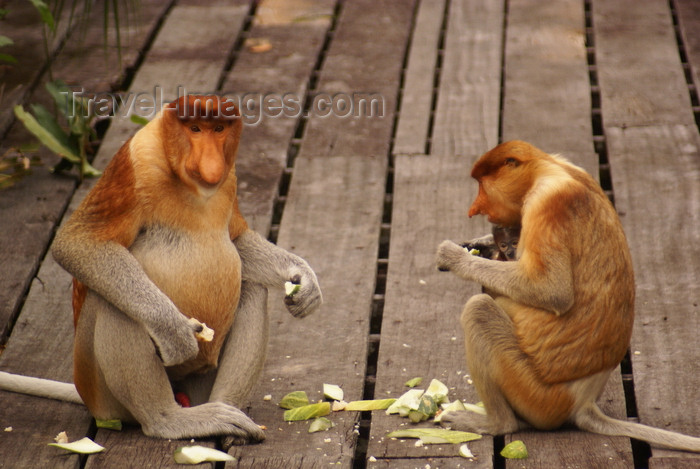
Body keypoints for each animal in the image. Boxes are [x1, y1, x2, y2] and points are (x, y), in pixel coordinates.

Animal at [0, 93, 322, 444]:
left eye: (219, 129)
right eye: (195, 129)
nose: (212, 164)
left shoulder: (230, 177)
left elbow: (236, 239)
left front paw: (303, 280)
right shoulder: (135, 163)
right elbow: (78, 243)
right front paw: (173, 331)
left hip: (199, 377)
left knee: (251, 286)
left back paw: (226, 414)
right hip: (102, 394)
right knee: (114, 303)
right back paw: (168, 419)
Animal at [434, 141, 700, 452]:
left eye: (482, 185)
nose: (475, 208)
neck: (547, 168)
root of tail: (582, 402)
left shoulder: (546, 203)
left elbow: (552, 291)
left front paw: (454, 257)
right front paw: (481, 244)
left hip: (535, 393)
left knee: (479, 310)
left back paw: (496, 423)